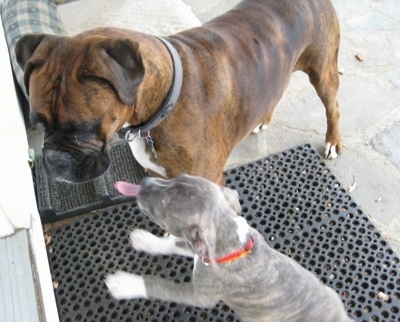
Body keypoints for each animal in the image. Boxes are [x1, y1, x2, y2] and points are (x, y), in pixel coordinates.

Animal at [14, 0, 340, 184]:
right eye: (38, 123)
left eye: (83, 129)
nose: (55, 161)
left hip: (323, 73)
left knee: (332, 107)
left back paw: (333, 142)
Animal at [106, 175, 354, 320]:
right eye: (176, 177)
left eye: (166, 203)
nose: (145, 181)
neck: (233, 243)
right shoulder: (197, 249)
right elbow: (171, 243)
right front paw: (145, 240)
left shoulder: (201, 296)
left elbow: (158, 285)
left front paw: (125, 284)